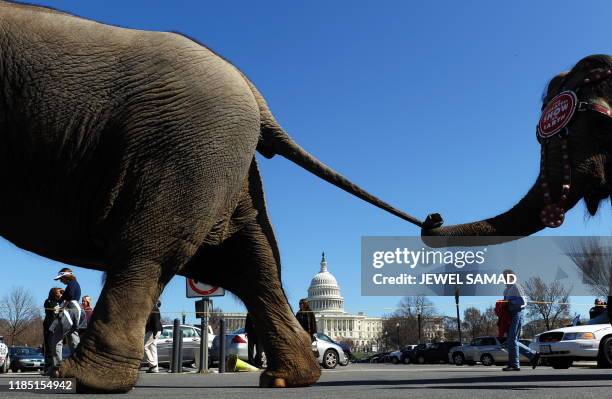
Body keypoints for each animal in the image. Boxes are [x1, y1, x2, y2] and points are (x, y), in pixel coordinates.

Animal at [0, 0, 426, 394]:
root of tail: (256, 97)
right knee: (252, 264)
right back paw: (287, 376)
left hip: (183, 152)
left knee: (150, 252)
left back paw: (79, 377)